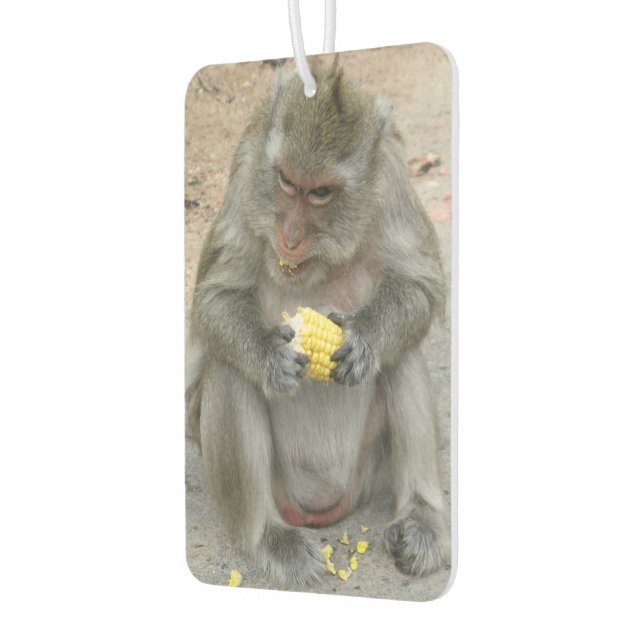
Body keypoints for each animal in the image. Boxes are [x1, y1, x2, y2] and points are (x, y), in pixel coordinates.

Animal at [186, 57, 450, 587]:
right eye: (287, 182)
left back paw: (420, 518)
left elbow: (421, 285)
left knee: (403, 357)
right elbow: (214, 300)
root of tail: (323, 510)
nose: (289, 236)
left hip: (368, 471)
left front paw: (364, 338)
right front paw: (270, 355)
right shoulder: (248, 171)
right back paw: (267, 537)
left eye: (321, 192)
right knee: (228, 368)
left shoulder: (392, 177)